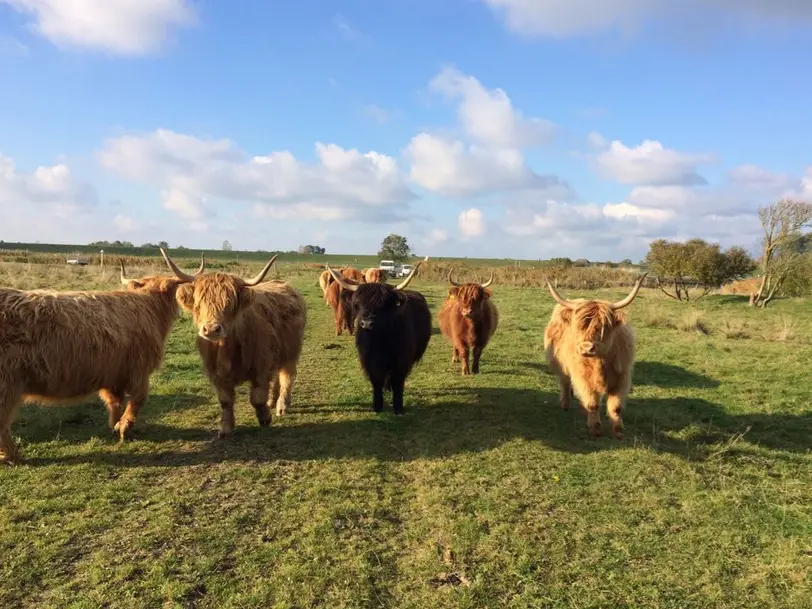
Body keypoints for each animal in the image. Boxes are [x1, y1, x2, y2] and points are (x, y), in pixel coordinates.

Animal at [0, 258, 206, 464]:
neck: (149, 307)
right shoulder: (139, 370)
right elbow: (138, 399)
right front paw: (124, 428)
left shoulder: (113, 373)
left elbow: (114, 401)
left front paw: (115, 426)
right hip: (8, 383)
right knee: (3, 421)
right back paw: (14, 456)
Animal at [160, 249, 306, 434]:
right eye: (200, 304)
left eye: (229, 304)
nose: (211, 329)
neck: (227, 351)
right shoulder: (216, 373)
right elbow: (225, 401)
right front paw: (226, 428)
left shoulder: (261, 365)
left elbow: (257, 397)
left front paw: (265, 418)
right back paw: (272, 401)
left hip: (292, 351)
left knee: (287, 375)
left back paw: (282, 405)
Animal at [326, 262, 432, 414]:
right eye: (358, 304)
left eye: (382, 305)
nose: (367, 323)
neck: (380, 340)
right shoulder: (369, 360)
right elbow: (376, 380)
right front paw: (377, 406)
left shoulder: (402, 360)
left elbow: (398, 382)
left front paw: (398, 408)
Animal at [544, 274, 652, 436]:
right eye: (578, 326)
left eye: (604, 326)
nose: (586, 348)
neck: (600, 362)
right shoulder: (583, 377)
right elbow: (592, 403)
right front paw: (595, 428)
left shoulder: (622, 378)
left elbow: (616, 406)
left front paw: (618, 430)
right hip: (560, 365)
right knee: (565, 382)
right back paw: (565, 404)